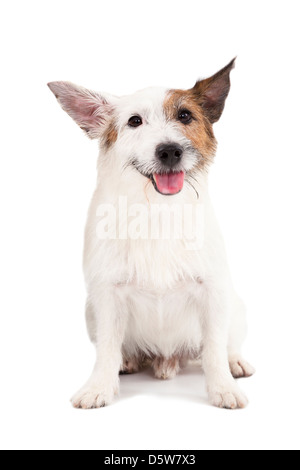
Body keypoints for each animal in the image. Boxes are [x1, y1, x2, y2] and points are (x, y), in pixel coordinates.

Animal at [48, 59, 254, 412]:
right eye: (134, 121)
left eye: (185, 116)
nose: (169, 151)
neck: (157, 209)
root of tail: (167, 359)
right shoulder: (106, 297)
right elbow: (107, 348)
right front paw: (98, 387)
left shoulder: (213, 292)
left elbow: (214, 346)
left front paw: (223, 387)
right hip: (89, 311)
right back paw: (129, 361)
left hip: (234, 305)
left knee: (224, 344)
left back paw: (235, 361)